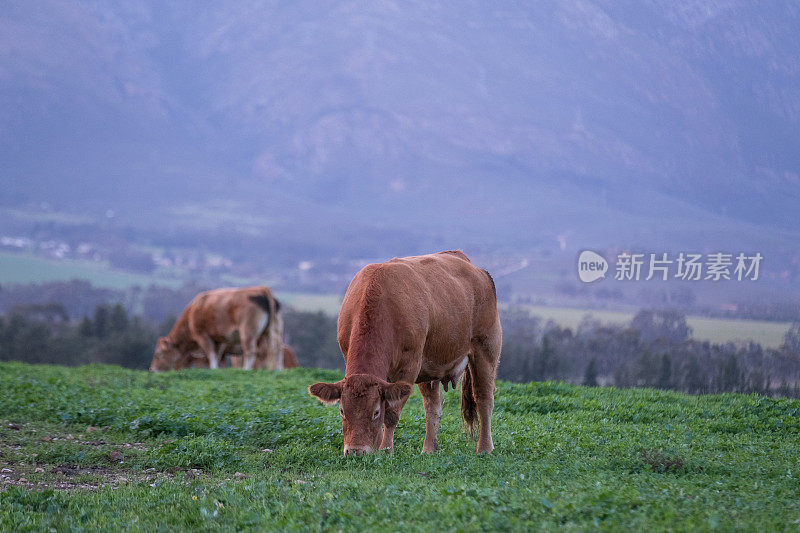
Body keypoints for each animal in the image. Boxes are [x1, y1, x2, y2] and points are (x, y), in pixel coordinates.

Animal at [150, 286, 284, 370]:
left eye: (158, 354)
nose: (152, 369)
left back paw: (246, 369)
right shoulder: (219, 341)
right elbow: (217, 356)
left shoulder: (203, 336)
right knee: (277, 350)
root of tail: (262, 289)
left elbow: (212, 355)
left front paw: (214, 370)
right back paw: (278, 370)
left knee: (251, 351)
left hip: (248, 332)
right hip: (273, 331)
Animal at [308, 249, 500, 454]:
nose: (355, 451)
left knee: (483, 398)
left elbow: (391, 414)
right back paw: (429, 449)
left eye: (375, 412)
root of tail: (474, 268)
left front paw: (386, 450)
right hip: (430, 364)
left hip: (486, 348)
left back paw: (484, 448)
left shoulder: (409, 368)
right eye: (342, 411)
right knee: (433, 403)